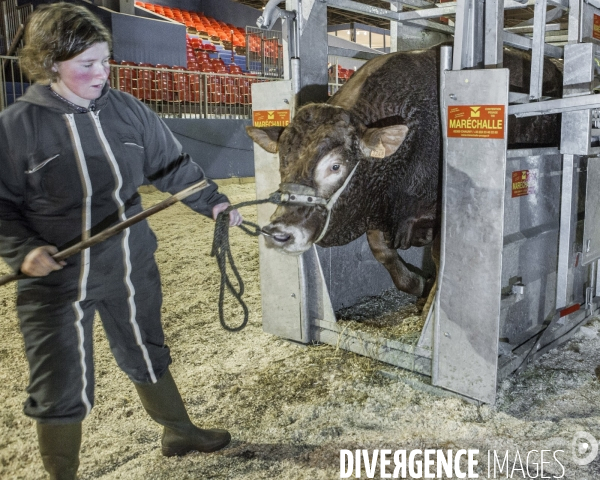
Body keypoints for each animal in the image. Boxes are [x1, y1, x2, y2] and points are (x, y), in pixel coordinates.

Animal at [245, 48, 564, 312]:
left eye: (335, 166)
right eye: (282, 162)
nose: (280, 232)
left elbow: (439, 256)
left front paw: (430, 301)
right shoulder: (378, 208)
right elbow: (382, 251)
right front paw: (417, 284)